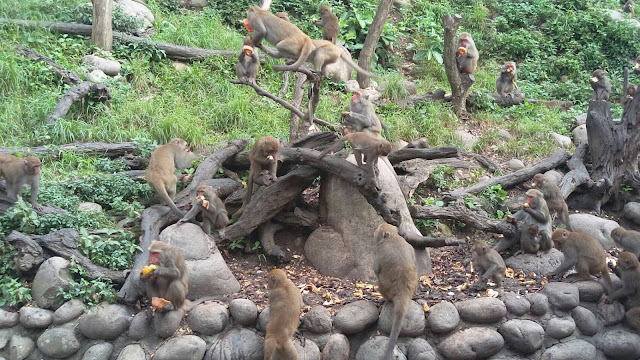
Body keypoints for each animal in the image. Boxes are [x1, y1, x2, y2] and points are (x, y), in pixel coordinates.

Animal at [372, 224, 418, 360]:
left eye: (379, 228)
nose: (374, 230)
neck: (392, 237)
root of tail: (402, 293)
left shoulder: (379, 250)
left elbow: (376, 269)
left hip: (385, 288)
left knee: (380, 280)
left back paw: (384, 299)